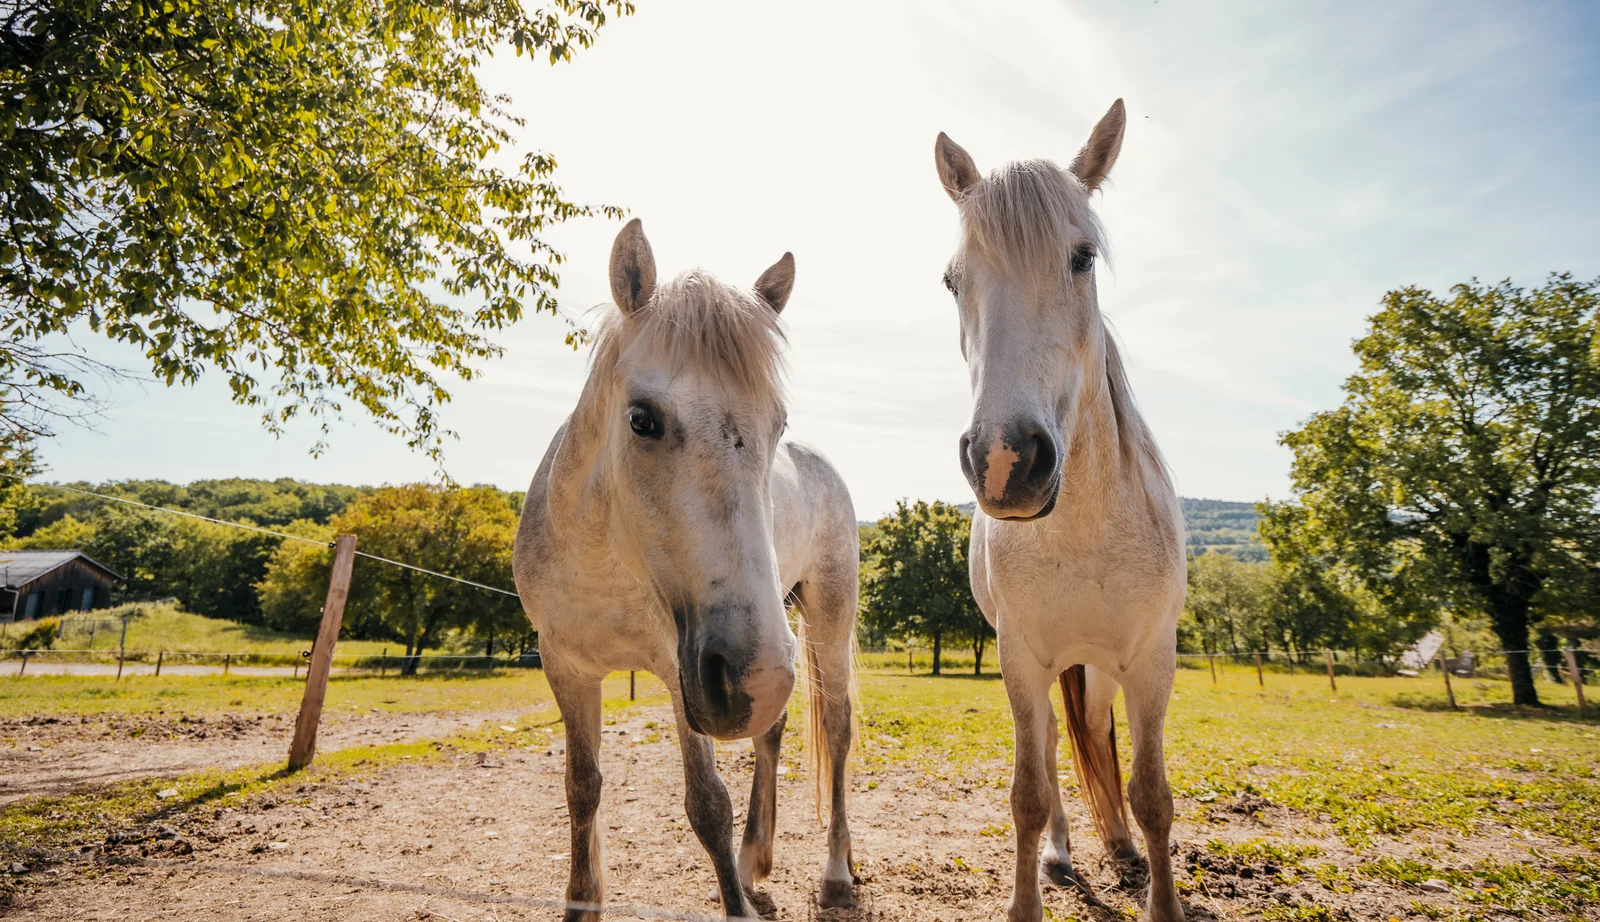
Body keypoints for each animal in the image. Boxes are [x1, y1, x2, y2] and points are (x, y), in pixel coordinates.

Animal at [512, 219, 861, 920]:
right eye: (641, 419)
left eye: (778, 424)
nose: (753, 677)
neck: (604, 563)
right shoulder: (565, 666)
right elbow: (581, 787)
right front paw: (582, 901)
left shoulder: (685, 671)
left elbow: (708, 806)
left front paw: (737, 903)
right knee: (772, 732)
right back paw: (756, 863)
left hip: (813, 628)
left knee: (835, 733)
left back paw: (835, 875)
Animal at [931, 99, 1187, 922]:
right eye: (952, 281)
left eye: (1082, 258)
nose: (1006, 460)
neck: (1084, 536)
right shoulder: (1018, 657)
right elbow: (1029, 791)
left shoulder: (1152, 661)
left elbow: (1152, 794)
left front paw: (1156, 887)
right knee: (1049, 753)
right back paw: (1064, 854)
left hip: (1102, 667)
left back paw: (1120, 849)